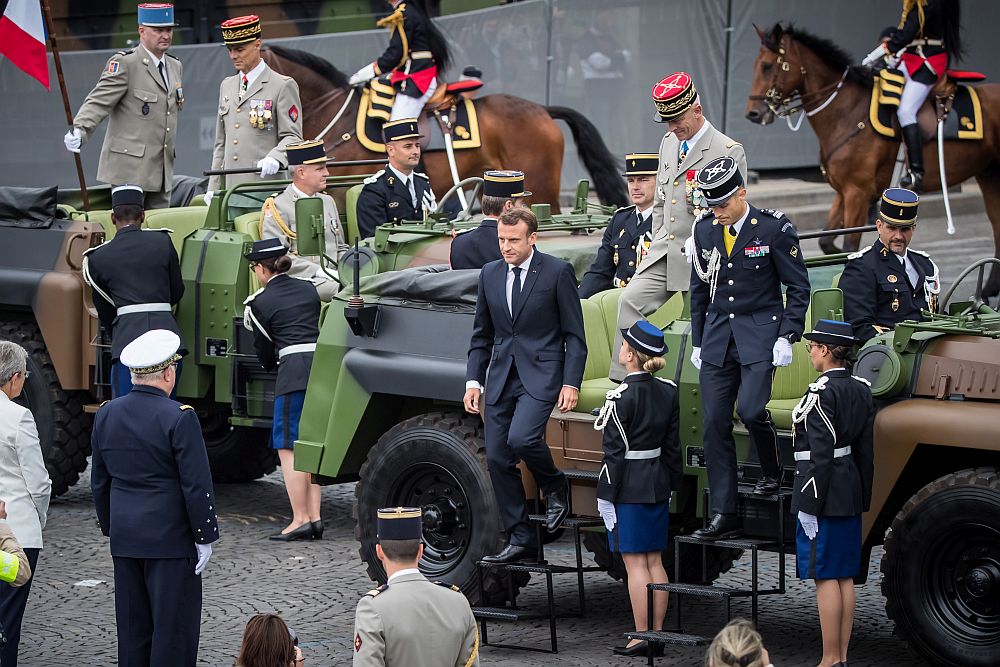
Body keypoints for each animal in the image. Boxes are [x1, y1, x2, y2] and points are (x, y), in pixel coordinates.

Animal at [748, 24, 1000, 298]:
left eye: (767, 65)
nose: (753, 113)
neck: (847, 112)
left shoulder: (857, 193)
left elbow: (849, 242)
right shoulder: (843, 192)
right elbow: (826, 241)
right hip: (988, 174)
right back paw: (988, 288)